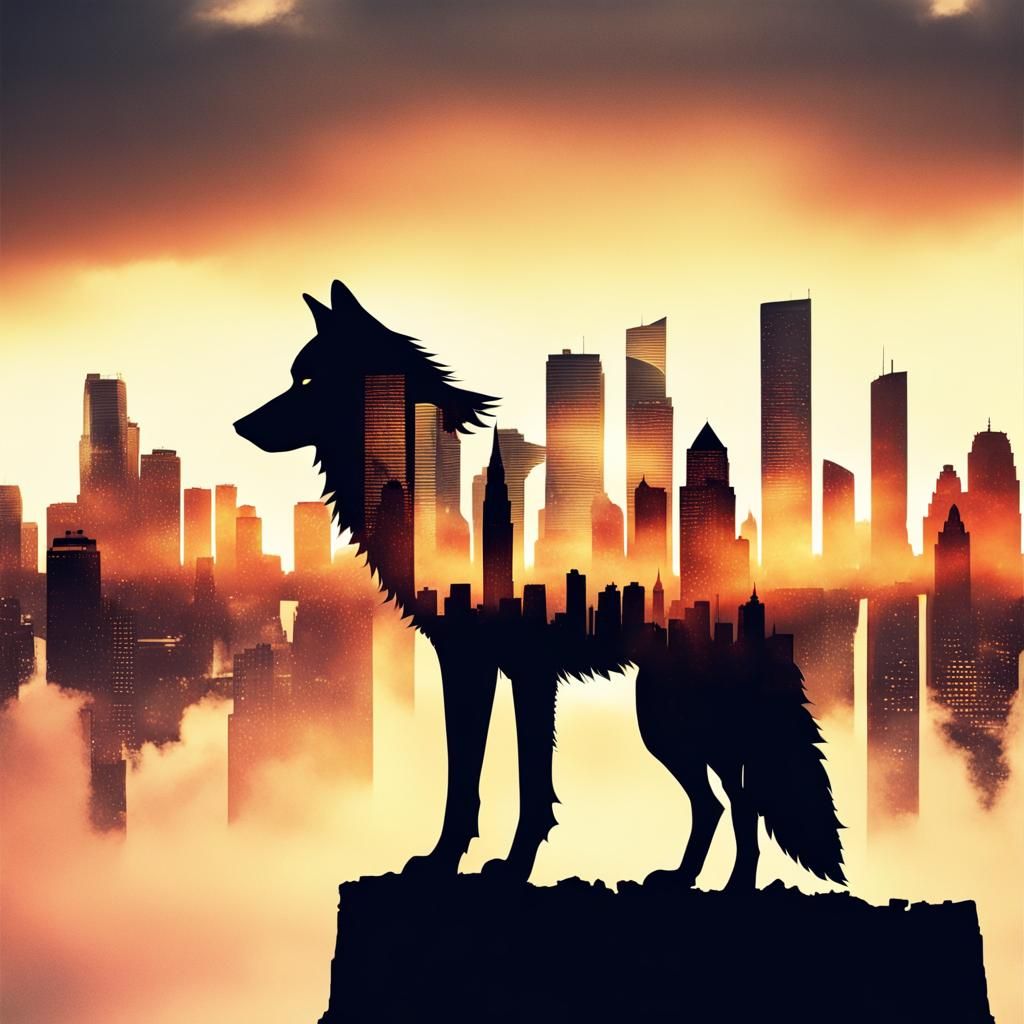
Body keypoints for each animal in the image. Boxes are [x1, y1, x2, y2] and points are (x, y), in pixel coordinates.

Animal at [234, 280, 845, 890]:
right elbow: (479, 777)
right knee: (722, 803)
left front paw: (496, 865)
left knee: (737, 803)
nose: (241, 426)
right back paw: (683, 877)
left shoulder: (509, 664)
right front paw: (456, 861)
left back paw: (729, 885)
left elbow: (511, 784)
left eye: (306, 380)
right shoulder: (481, 662)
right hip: (673, 720)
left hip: (669, 718)